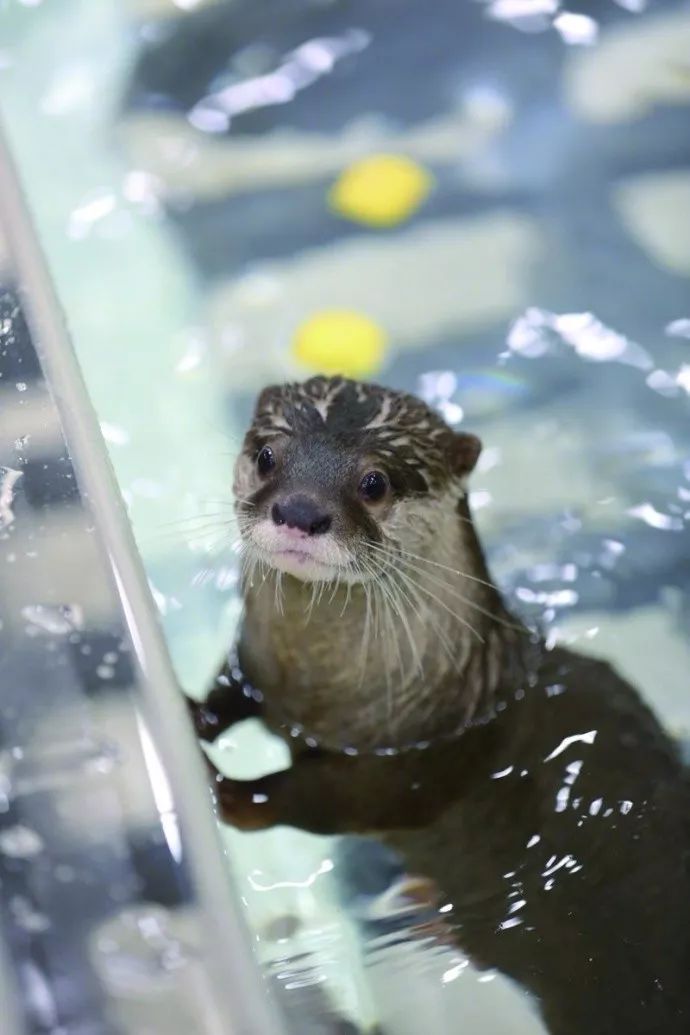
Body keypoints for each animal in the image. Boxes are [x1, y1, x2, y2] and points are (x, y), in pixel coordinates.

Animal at [186, 378, 690, 1035]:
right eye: (268, 457)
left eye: (375, 482)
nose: (299, 512)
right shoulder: (254, 674)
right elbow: (228, 696)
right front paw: (194, 715)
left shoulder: (410, 769)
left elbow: (321, 798)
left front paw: (225, 787)